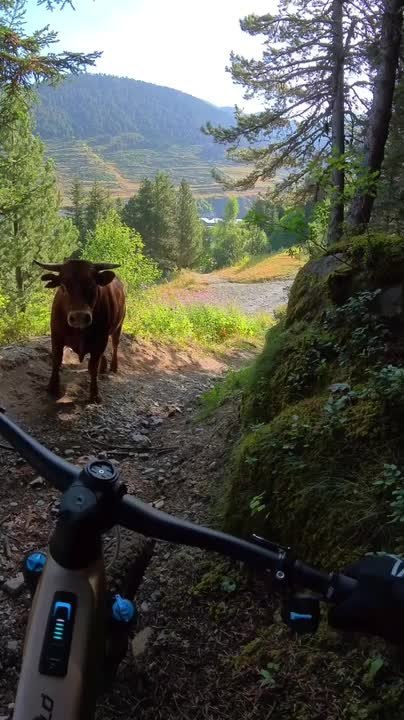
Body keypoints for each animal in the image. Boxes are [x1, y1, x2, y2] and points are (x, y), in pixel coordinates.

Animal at [35, 259, 126, 404]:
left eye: (92, 285)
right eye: (63, 286)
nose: (79, 317)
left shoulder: (100, 339)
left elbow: (92, 367)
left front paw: (94, 394)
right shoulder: (56, 336)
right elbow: (56, 361)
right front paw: (52, 387)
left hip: (118, 326)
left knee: (115, 345)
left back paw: (113, 366)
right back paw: (103, 367)